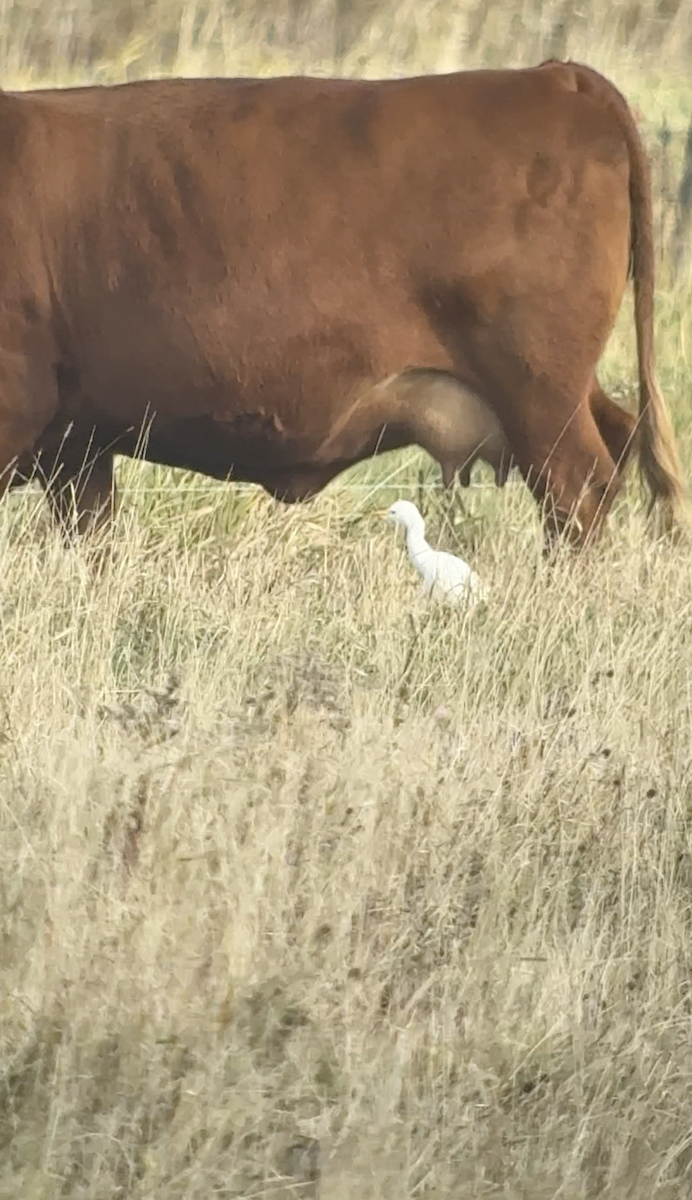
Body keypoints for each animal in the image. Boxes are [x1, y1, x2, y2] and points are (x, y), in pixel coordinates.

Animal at [0, 59, 686, 548]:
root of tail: (554, 76)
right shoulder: (80, 444)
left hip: (537, 386)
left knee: (577, 486)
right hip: (556, 386)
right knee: (615, 443)